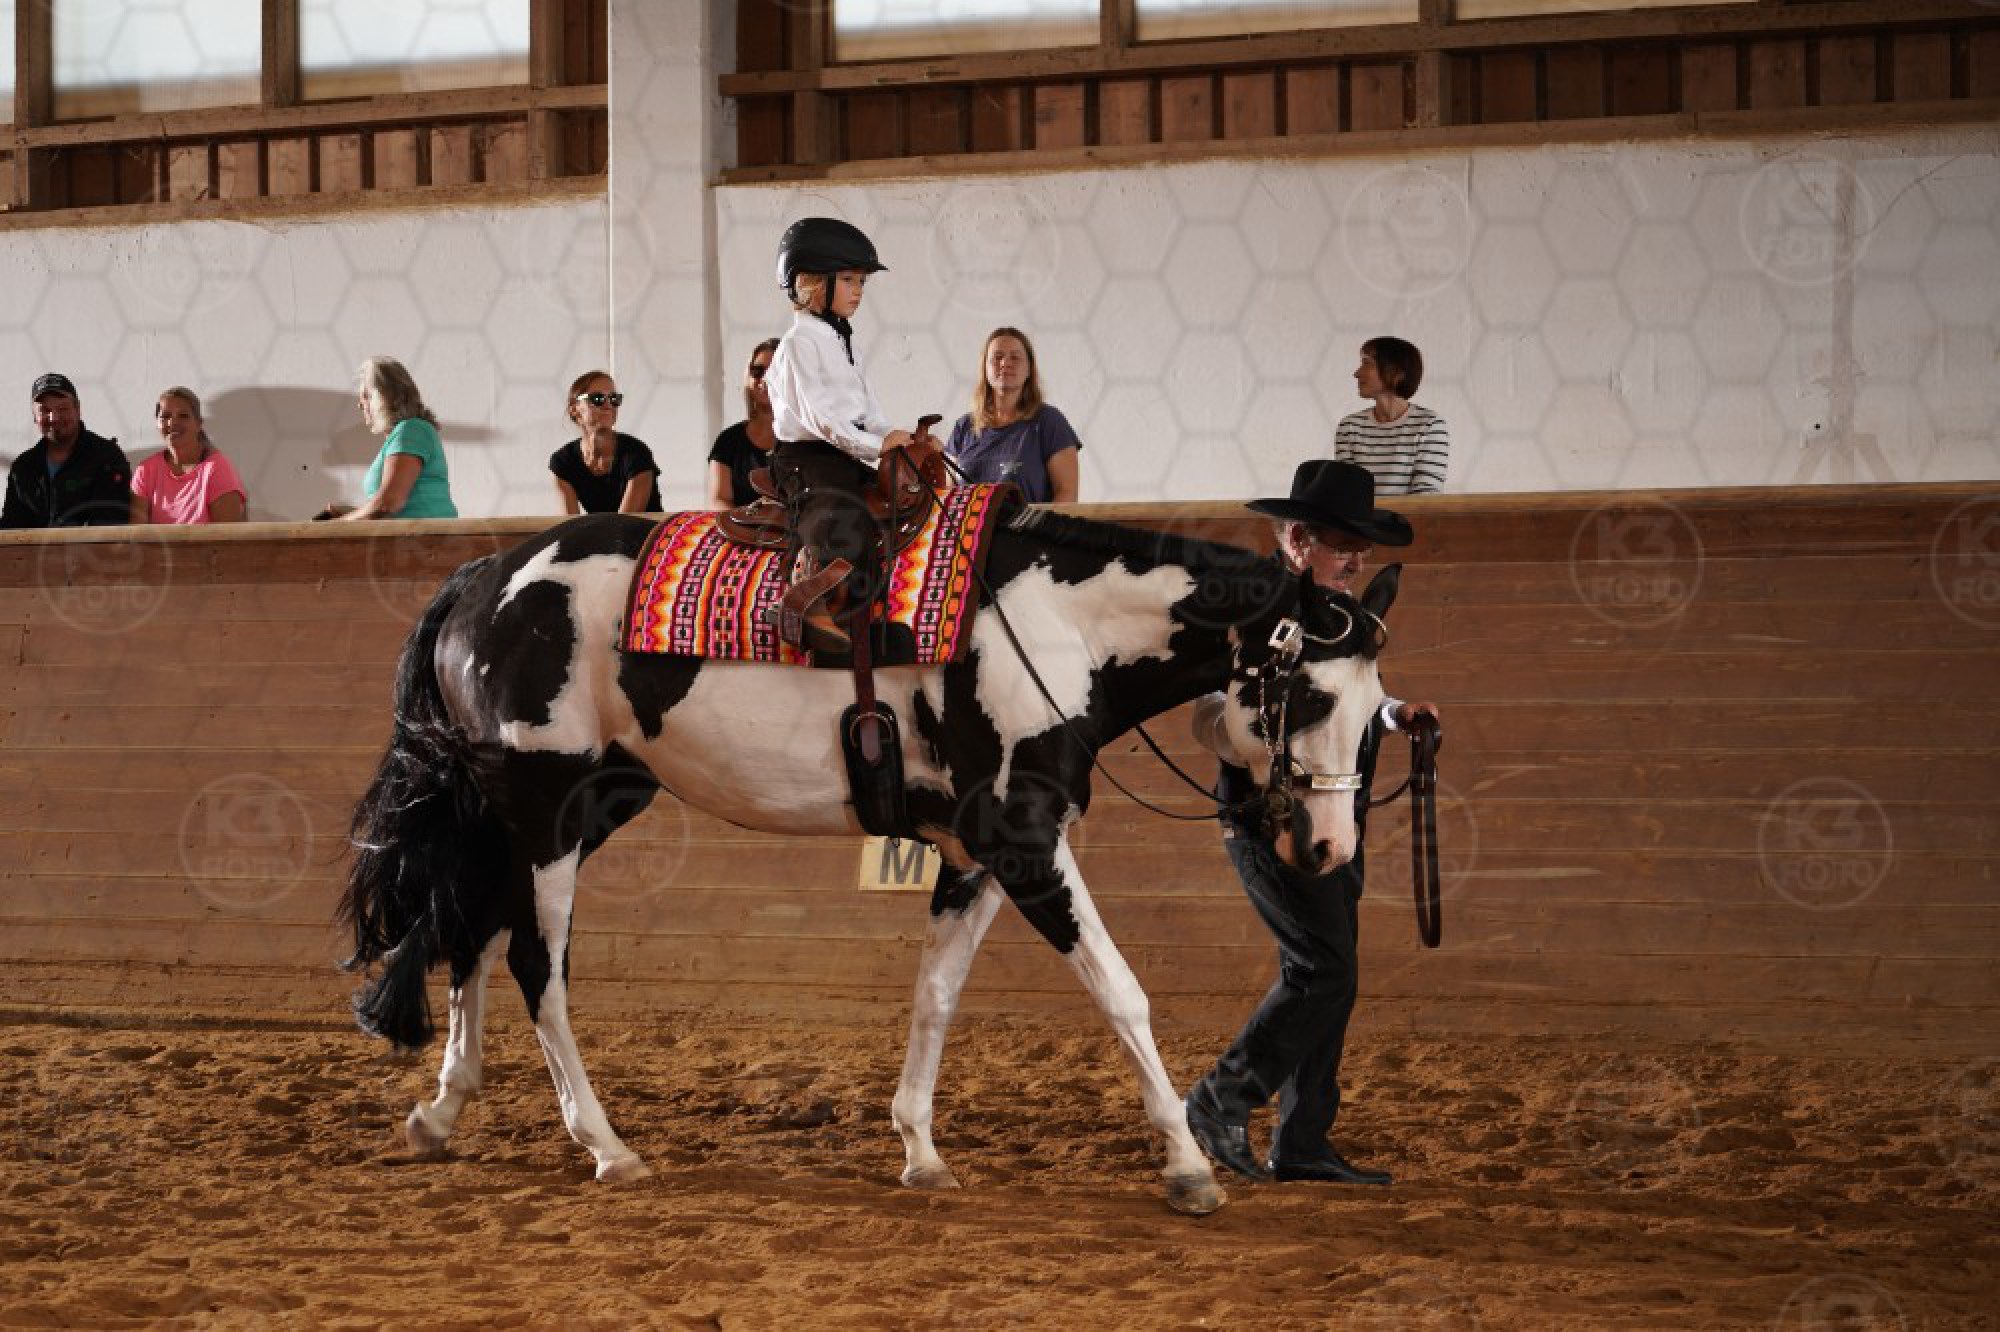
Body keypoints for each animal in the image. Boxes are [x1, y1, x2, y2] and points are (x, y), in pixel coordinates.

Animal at [339, 505, 1399, 1215]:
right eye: (1311, 697)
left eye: (1374, 705)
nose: (1329, 846)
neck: (1057, 626)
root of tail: (484, 576)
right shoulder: (1025, 843)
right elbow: (1122, 992)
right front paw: (1186, 1166)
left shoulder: (977, 855)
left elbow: (936, 998)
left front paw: (921, 1150)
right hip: (547, 810)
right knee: (535, 965)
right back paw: (605, 1146)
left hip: (574, 806)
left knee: (470, 930)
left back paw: (441, 1113)